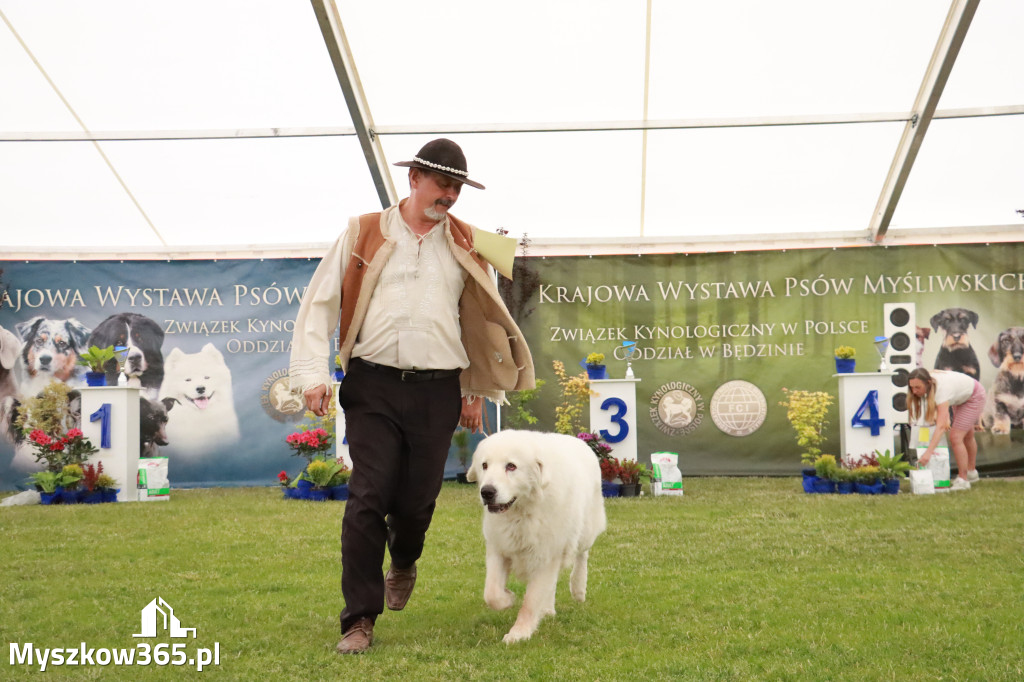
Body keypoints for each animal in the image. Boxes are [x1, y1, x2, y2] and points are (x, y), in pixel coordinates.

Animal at [466, 430, 602, 643]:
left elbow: (530, 601)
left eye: (511, 466)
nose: (487, 492)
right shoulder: (499, 548)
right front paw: (507, 598)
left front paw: (519, 633)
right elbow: (492, 593)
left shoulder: (547, 555)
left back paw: (578, 589)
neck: (522, 512)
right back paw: (547, 609)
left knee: (582, 555)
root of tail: (579, 440)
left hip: (585, 530)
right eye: (484, 465)